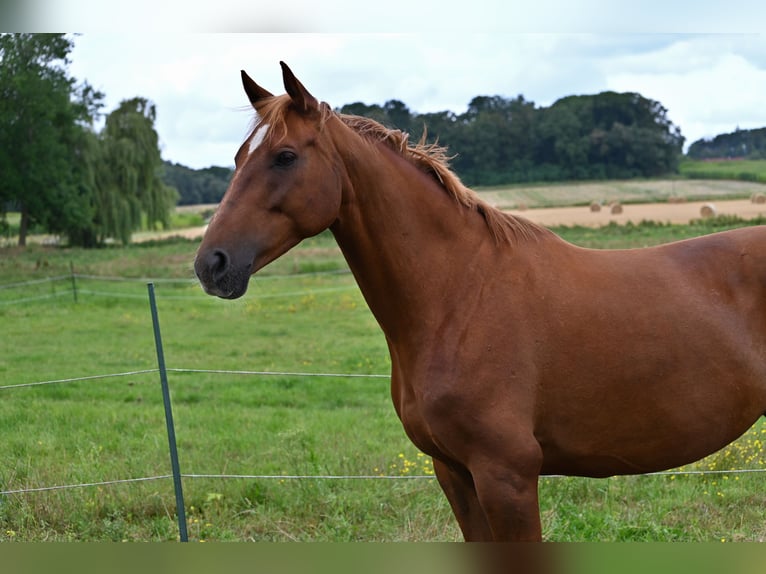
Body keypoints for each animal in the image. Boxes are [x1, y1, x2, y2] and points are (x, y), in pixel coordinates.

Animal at [194, 63, 766, 544]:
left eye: (285, 156)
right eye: (240, 157)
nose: (211, 264)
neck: (459, 297)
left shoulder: (506, 476)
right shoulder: (455, 473)